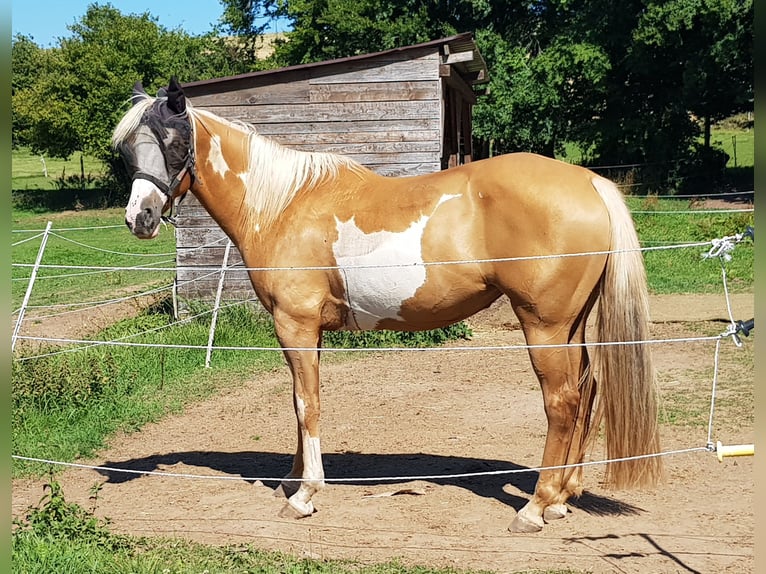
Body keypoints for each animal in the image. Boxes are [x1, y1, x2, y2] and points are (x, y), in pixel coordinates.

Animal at [112, 77, 662, 533]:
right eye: (126, 151)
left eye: (174, 142)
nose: (140, 218)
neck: (283, 204)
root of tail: (589, 181)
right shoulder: (303, 332)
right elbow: (298, 401)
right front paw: (292, 478)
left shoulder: (296, 325)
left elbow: (306, 402)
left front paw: (304, 494)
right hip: (571, 325)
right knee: (587, 391)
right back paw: (564, 497)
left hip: (544, 327)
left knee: (563, 403)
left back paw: (535, 506)